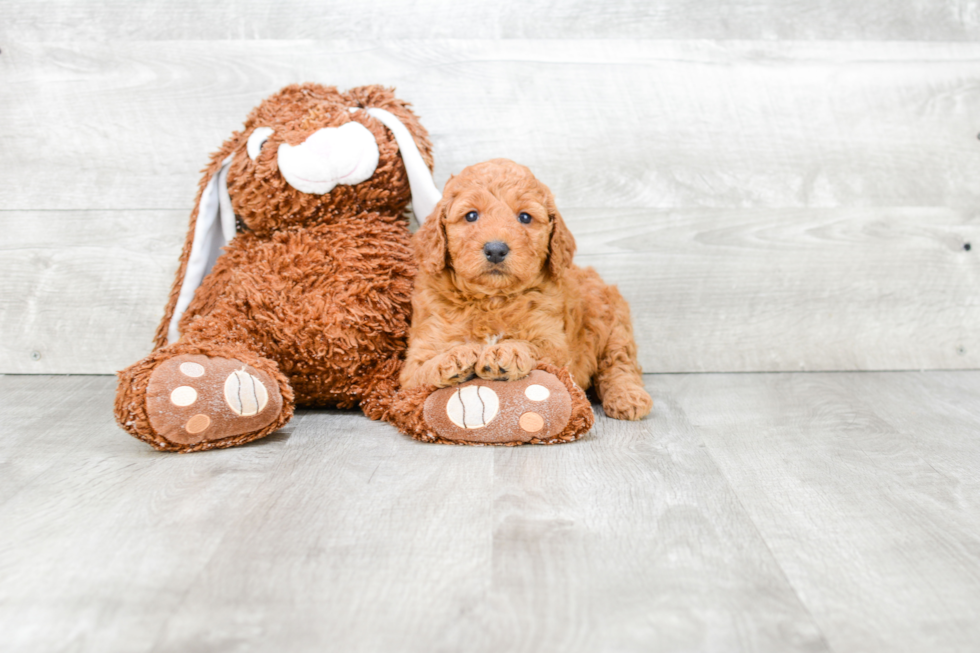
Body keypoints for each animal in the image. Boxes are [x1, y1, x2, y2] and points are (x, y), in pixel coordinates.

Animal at [402, 160, 656, 420]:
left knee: (619, 363)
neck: (492, 299)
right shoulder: (416, 358)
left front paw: (506, 352)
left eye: (525, 217)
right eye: (471, 215)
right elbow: (421, 369)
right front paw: (452, 359)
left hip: (613, 322)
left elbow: (533, 346)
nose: (496, 250)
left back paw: (627, 397)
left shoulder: (555, 346)